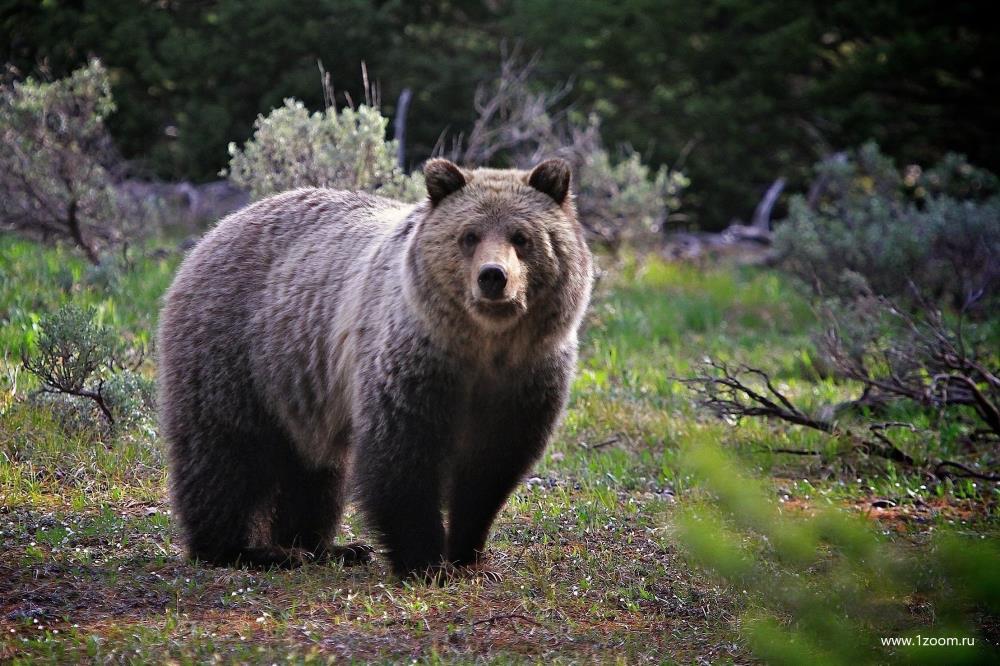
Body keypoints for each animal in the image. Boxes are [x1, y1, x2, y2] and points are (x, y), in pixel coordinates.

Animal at [157, 157, 592, 576]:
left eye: (521, 237)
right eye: (469, 235)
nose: (493, 277)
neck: (483, 347)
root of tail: (215, 230)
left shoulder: (526, 378)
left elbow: (491, 470)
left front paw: (469, 556)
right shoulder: (412, 362)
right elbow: (401, 458)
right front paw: (426, 562)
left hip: (302, 388)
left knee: (315, 470)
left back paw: (325, 547)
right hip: (237, 352)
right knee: (225, 453)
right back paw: (245, 550)